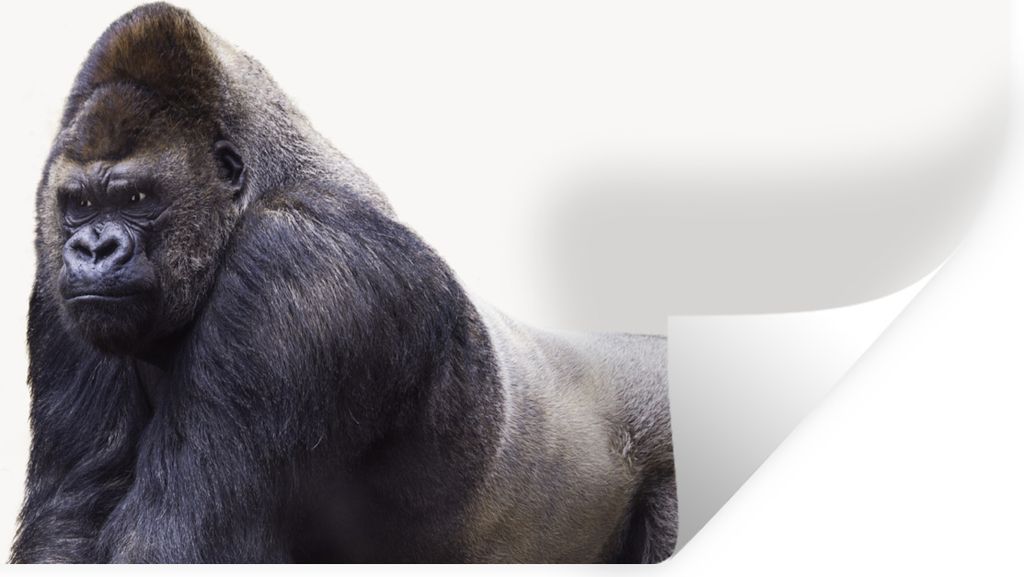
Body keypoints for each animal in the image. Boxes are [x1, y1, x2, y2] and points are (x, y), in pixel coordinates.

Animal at [11, 3, 676, 563]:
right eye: (79, 204)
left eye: (136, 198)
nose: (93, 247)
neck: (256, 188)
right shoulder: (56, 286)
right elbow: (69, 524)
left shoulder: (296, 271)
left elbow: (178, 539)